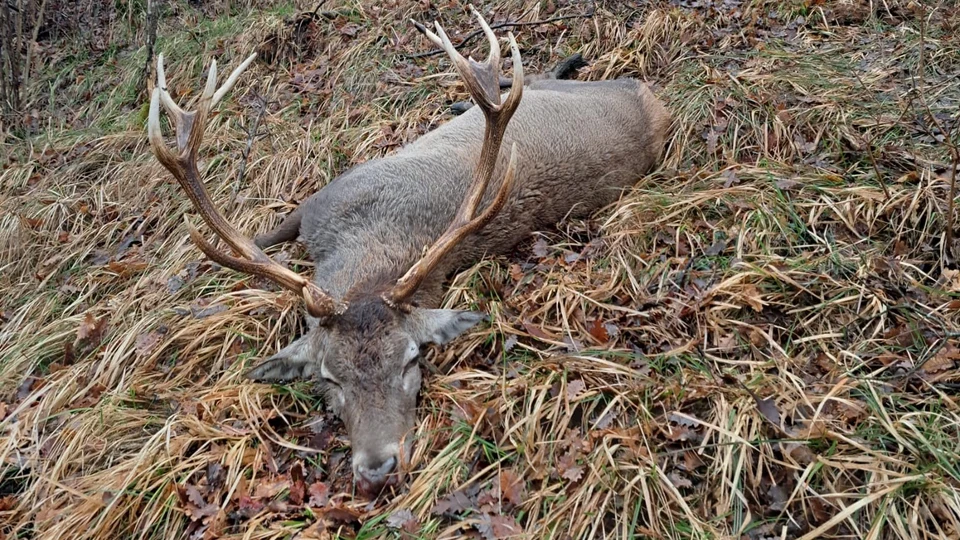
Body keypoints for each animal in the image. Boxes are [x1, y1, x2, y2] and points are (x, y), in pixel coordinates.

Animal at [146, 7, 670, 496]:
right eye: (329, 378)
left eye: (413, 359)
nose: (379, 470)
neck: (361, 247)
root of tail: (653, 104)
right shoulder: (318, 205)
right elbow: (260, 240)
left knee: (538, 76)